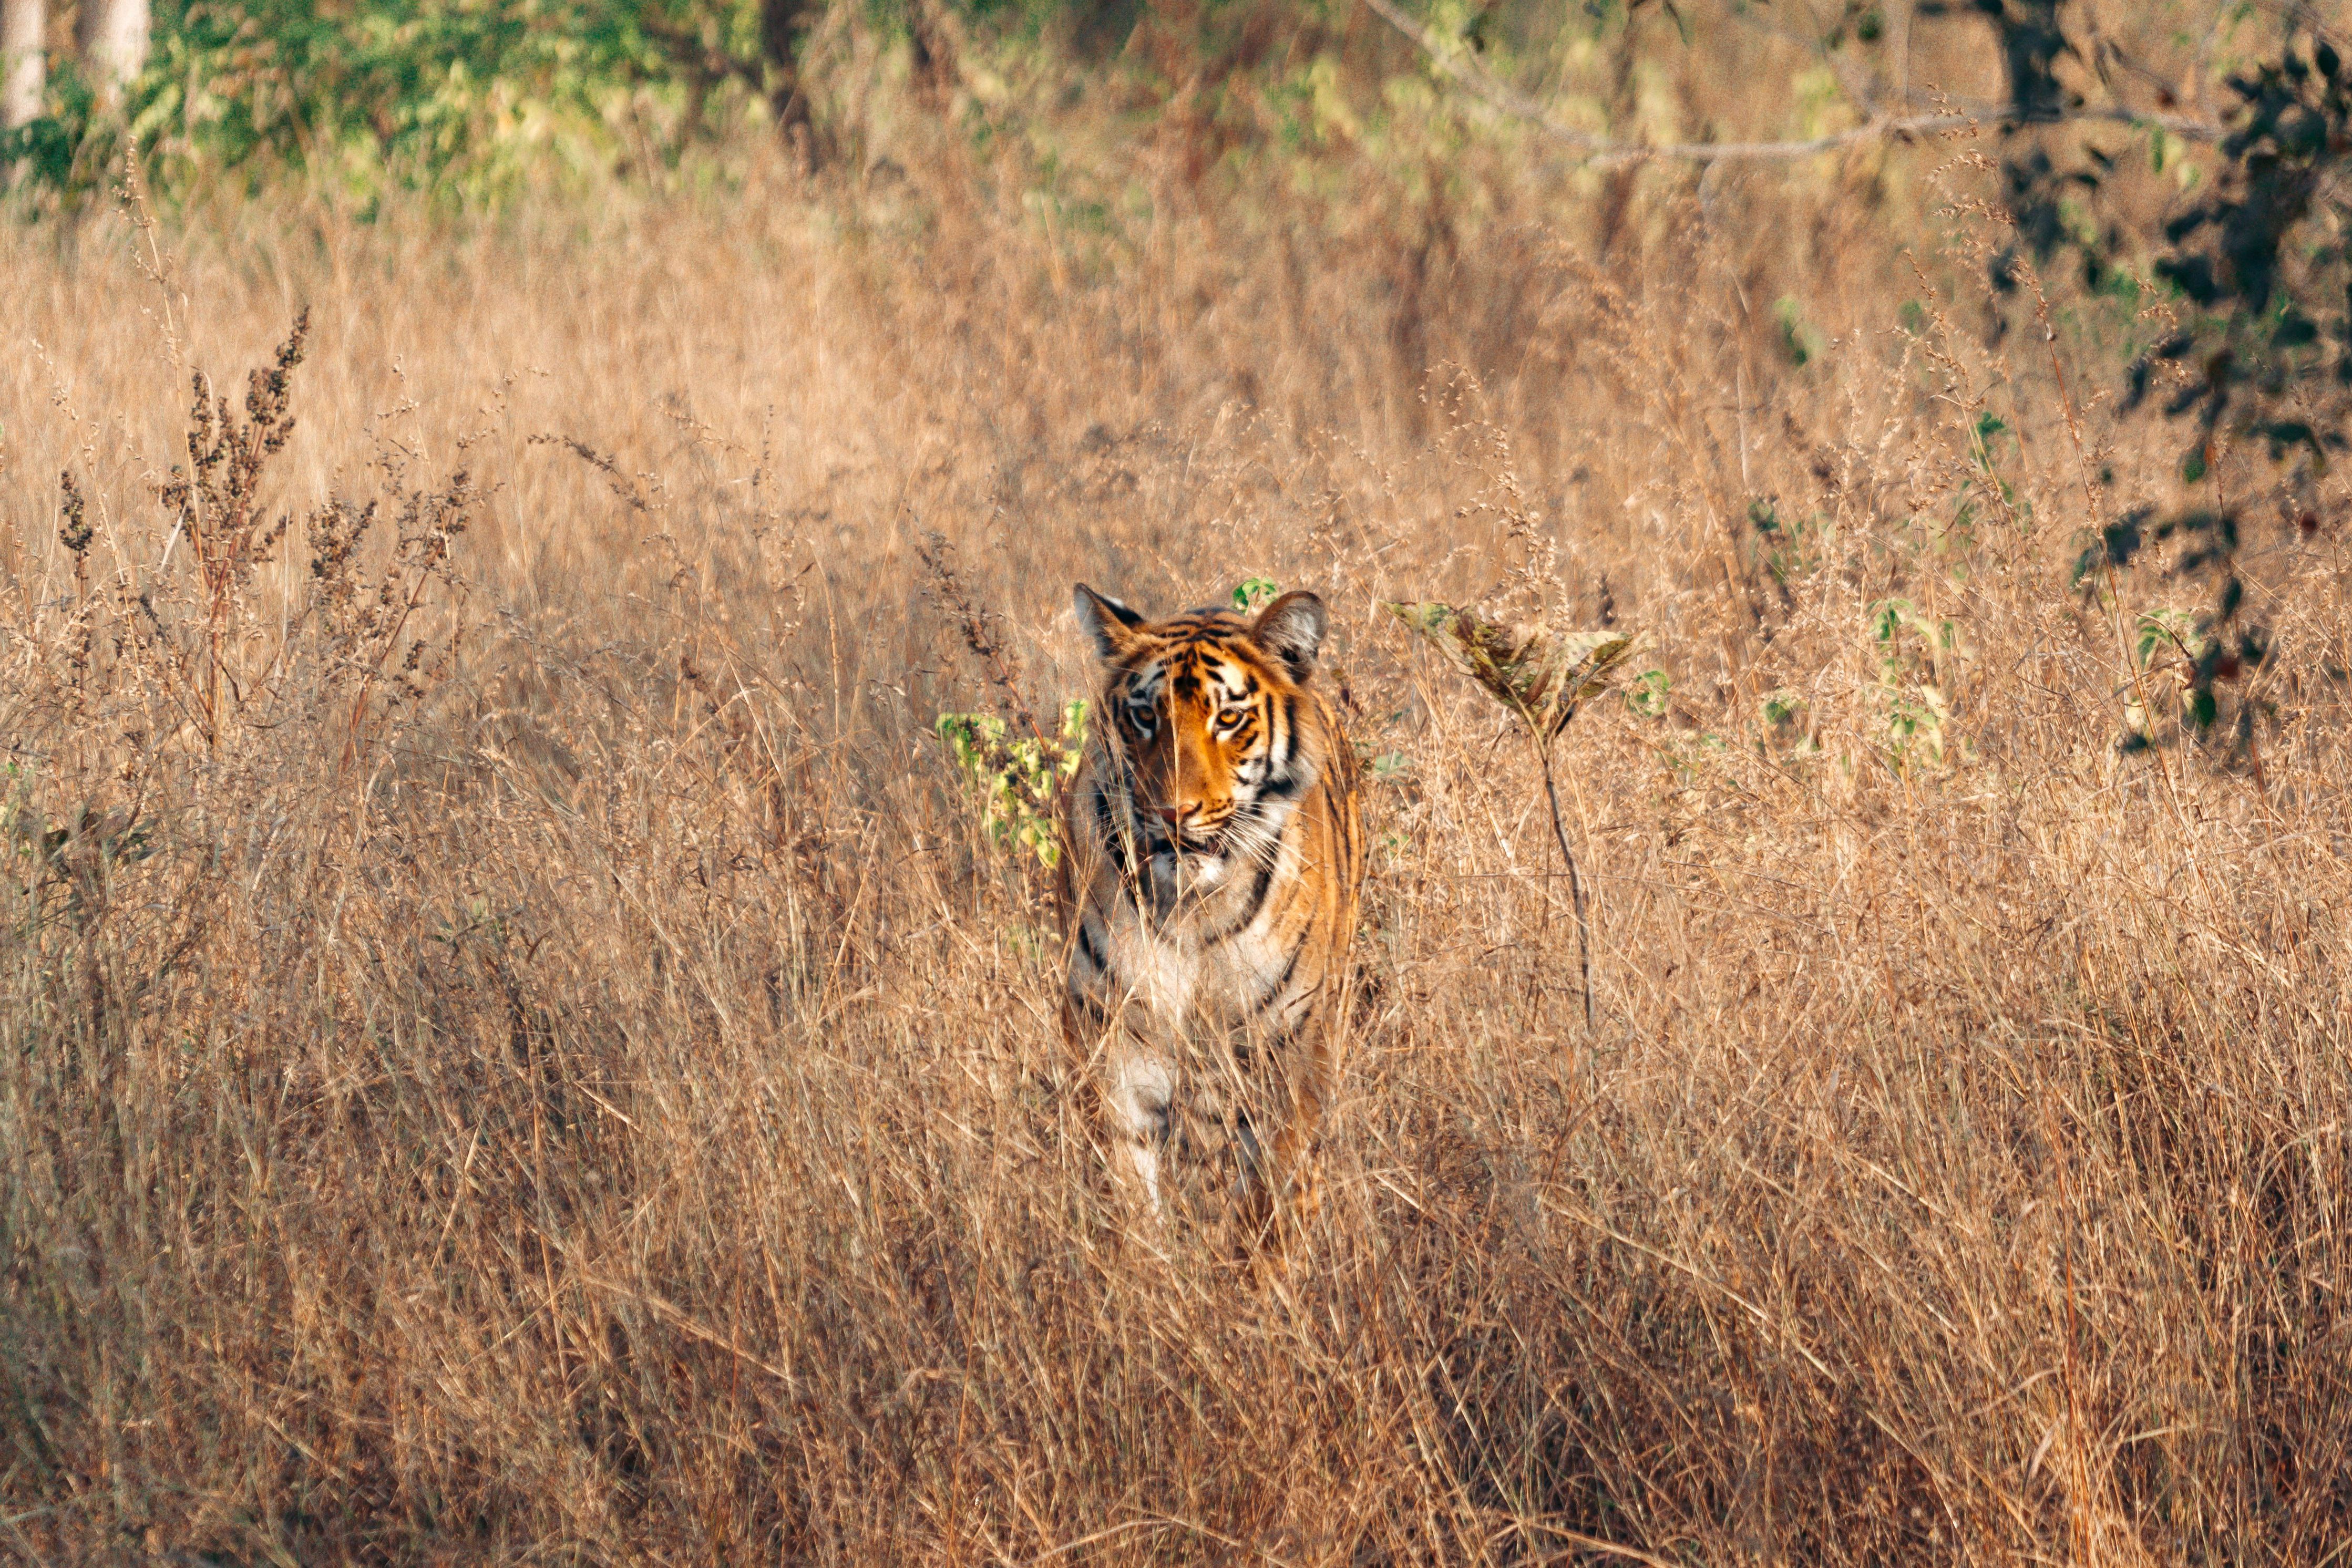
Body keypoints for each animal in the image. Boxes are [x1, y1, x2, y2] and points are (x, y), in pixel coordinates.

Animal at [1059, 583, 1366, 1243]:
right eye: (1144, 715)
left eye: (1227, 719)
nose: (1172, 813)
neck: (1193, 911)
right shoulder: (1113, 1054)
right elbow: (1128, 1205)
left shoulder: (1290, 1063)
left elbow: (1269, 1213)